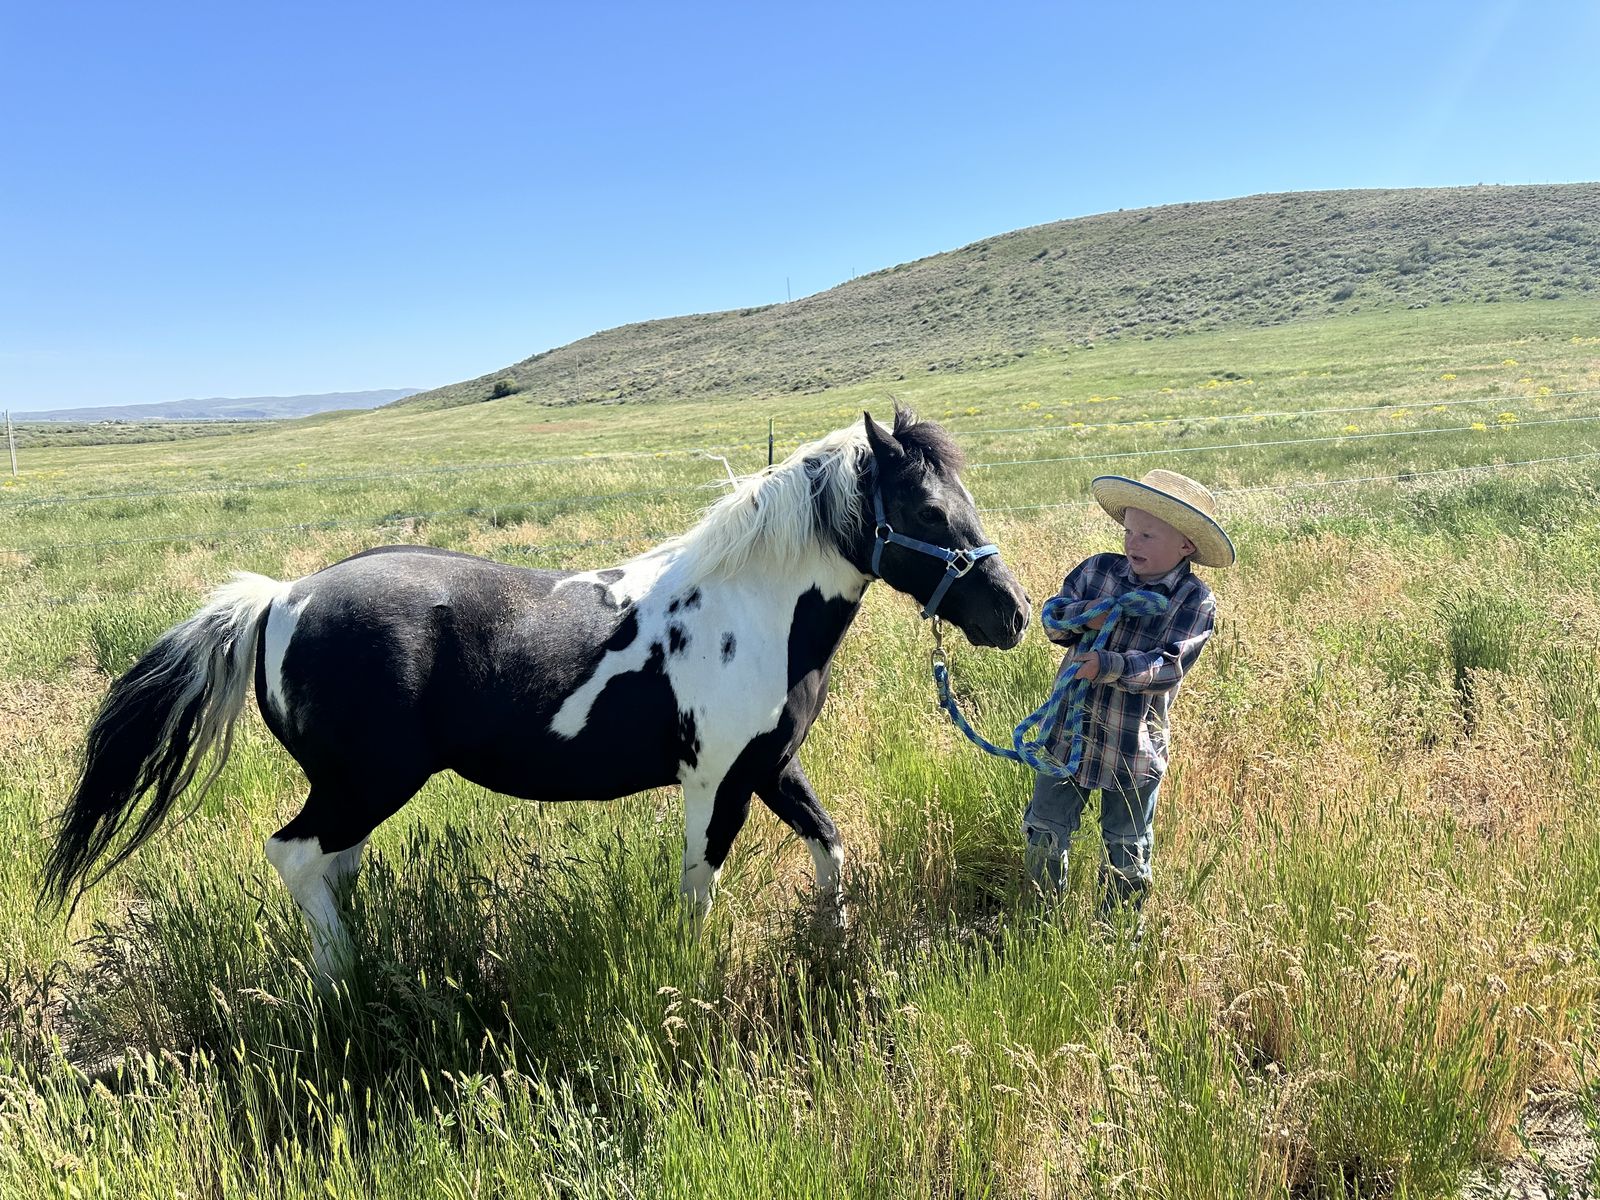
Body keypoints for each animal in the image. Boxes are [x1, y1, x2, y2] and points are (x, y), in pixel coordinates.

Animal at [41, 410, 1030, 978]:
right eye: (929, 511)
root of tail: (283, 596)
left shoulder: (770, 769)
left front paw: (830, 947)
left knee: (333, 867)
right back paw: (344, 984)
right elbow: (700, 890)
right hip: (368, 782)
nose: (1014, 613)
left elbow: (830, 850)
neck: (751, 607)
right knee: (295, 858)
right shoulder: (716, 785)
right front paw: (693, 982)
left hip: (355, 791)